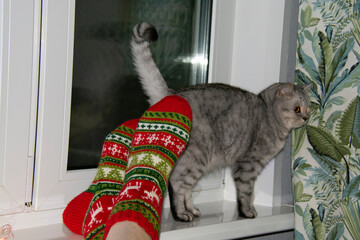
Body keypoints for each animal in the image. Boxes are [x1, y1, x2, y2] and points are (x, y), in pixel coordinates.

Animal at [131, 22, 310, 221]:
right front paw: (247, 212)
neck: (270, 116)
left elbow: (248, 194)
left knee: (186, 187)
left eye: (308, 108)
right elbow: (246, 192)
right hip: (197, 158)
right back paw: (181, 214)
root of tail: (172, 94)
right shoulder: (248, 165)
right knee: (176, 183)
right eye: (297, 109)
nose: (306, 117)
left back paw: (191, 210)